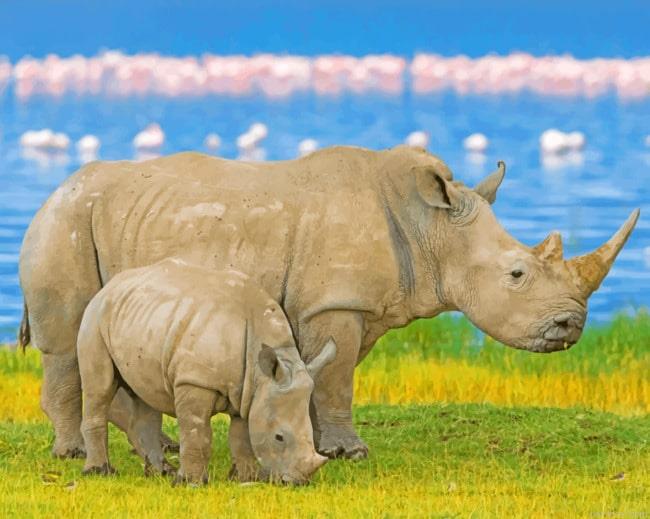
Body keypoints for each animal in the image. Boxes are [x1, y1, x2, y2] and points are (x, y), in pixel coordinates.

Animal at [18, 145, 639, 460]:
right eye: (517, 274)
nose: (571, 326)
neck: (431, 228)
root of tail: (52, 191)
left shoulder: (350, 305)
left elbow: (328, 374)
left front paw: (317, 443)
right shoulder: (335, 303)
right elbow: (338, 378)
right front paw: (350, 452)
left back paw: (163, 448)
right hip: (63, 223)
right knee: (68, 344)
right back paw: (71, 455)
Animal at [77, 258, 331, 484]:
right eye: (279, 438)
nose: (297, 483)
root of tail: (110, 285)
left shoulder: (248, 390)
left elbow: (241, 436)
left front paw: (245, 479)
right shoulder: (195, 381)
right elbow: (197, 432)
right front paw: (190, 483)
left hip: (142, 318)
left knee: (145, 393)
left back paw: (161, 473)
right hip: (95, 317)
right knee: (99, 388)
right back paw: (100, 472)